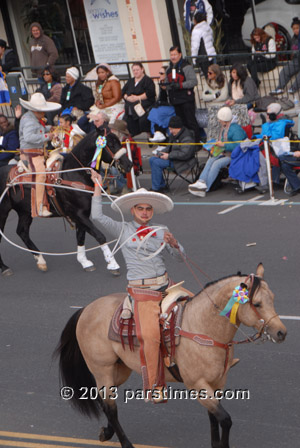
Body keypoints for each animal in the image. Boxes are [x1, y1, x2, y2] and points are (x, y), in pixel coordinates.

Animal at [0, 128, 132, 276]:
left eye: (118, 141)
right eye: (110, 144)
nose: (129, 164)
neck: (75, 174)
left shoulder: (83, 214)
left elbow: (80, 236)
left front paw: (84, 262)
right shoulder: (78, 214)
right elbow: (100, 236)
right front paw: (113, 264)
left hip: (25, 212)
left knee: (22, 232)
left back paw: (41, 261)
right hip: (3, 212)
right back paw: (4, 267)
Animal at [55, 264, 288, 446]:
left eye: (273, 298)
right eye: (257, 304)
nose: (281, 332)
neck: (203, 328)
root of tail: (86, 308)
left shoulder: (217, 384)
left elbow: (214, 419)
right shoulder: (198, 386)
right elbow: (225, 419)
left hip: (118, 370)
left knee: (104, 400)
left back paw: (106, 432)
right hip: (102, 369)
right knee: (110, 406)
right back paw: (126, 443)